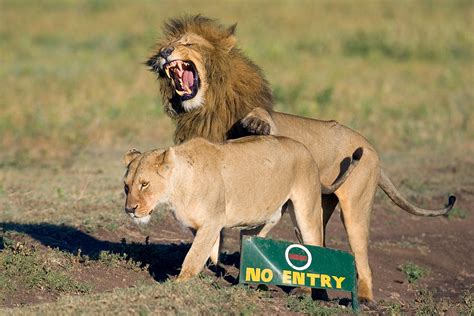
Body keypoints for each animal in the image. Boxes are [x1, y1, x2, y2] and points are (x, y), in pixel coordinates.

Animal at [124, 137, 358, 280]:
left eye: (144, 184)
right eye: (126, 186)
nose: (129, 209)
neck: (176, 191)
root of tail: (305, 149)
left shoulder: (212, 220)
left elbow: (194, 255)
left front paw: (179, 282)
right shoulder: (201, 225)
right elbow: (210, 249)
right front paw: (213, 269)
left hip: (306, 211)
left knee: (314, 243)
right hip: (260, 220)